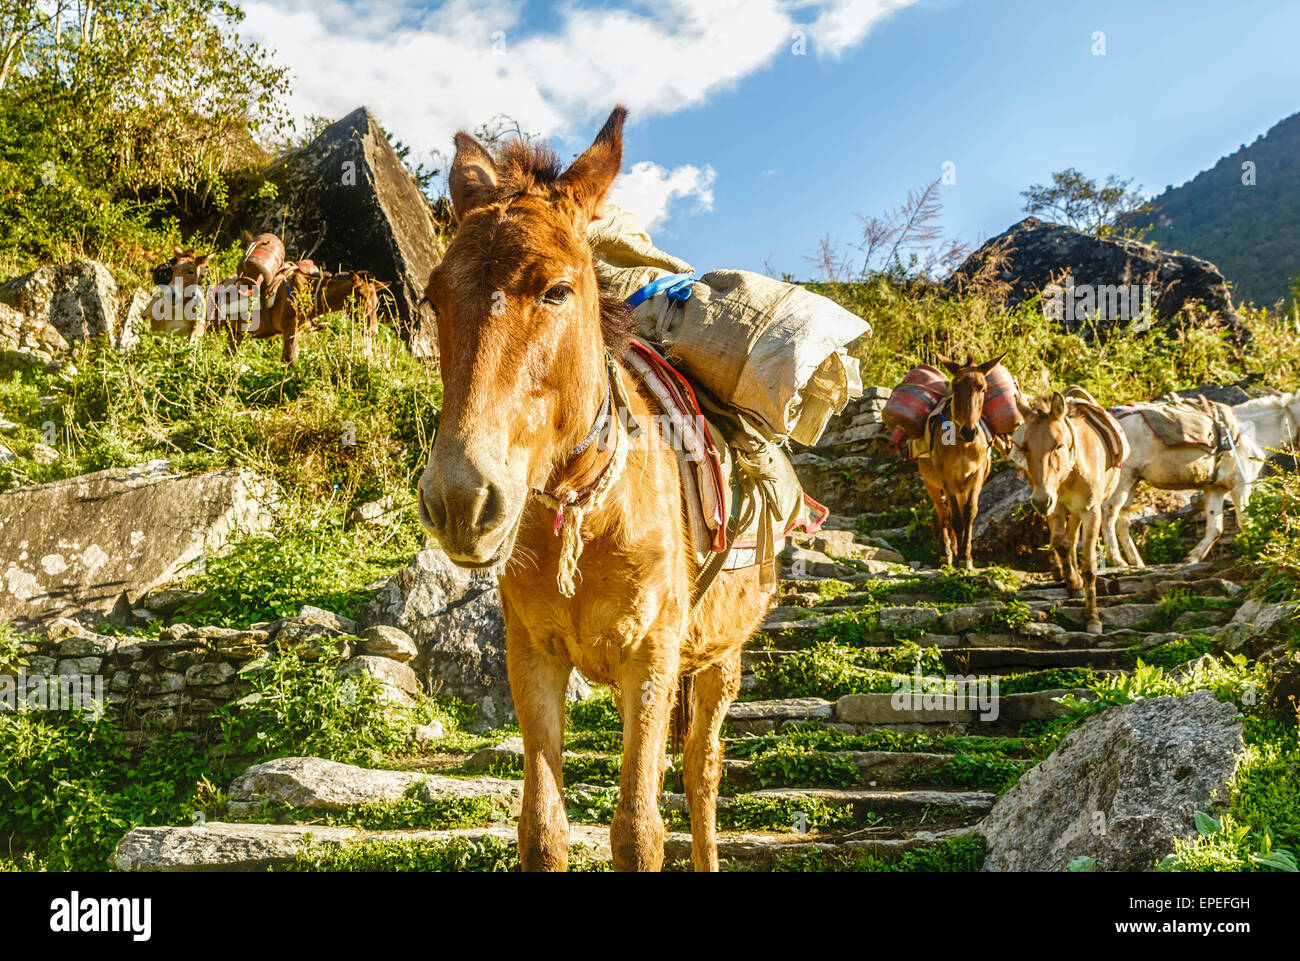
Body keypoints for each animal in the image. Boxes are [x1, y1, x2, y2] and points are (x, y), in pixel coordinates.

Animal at [415, 106, 773, 872]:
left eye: (557, 290)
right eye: (433, 298)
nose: (460, 500)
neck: (588, 505)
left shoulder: (652, 657)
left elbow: (638, 828)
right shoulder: (533, 657)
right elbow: (543, 828)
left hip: (719, 656)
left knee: (701, 771)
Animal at [916, 354, 1002, 570]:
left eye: (983, 388)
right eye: (955, 387)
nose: (969, 431)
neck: (963, 445)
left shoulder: (976, 475)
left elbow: (969, 513)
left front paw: (966, 556)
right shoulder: (948, 479)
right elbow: (954, 517)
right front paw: (959, 556)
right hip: (930, 483)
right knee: (943, 513)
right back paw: (946, 553)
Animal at [1016, 391, 1123, 634]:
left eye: (1058, 446)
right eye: (1025, 448)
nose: (1040, 500)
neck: (1071, 474)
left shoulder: (1091, 512)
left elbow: (1089, 566)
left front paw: (1092, 618)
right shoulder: (1055, 506)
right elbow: (1061, 543)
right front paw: (1073, 582)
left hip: (1079, 511)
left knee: (1074, 536)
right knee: (1067, 539)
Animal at [1102, 391, 1300, 567]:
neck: (1253, 433)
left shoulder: (1216, 488)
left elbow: (1215, 528)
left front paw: (1192, 558)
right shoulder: (1241, 484)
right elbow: (1245, 520)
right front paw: (1254, 553)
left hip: (1132, 481)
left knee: (1122, 520)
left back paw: (1136, 563)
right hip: (1123, 479)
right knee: (1109, 512)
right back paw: (1118, 560)